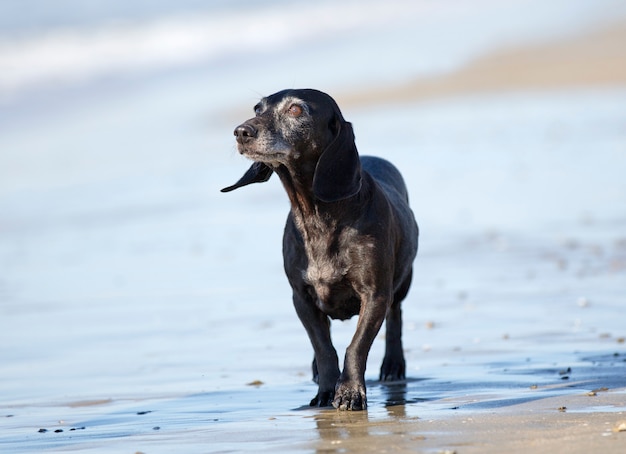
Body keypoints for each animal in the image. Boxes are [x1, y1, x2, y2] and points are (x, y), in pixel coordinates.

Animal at [222, 88, 416, 412]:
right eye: (257, 108)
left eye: (296, 110)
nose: (241, 132)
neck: (317, 216)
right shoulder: (302, 299)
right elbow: (324, 348)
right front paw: (326, 390)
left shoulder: (375, 296)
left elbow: (356, 345)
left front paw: (349, 392)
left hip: (402, 284)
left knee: (396, 317)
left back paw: (393, 364)